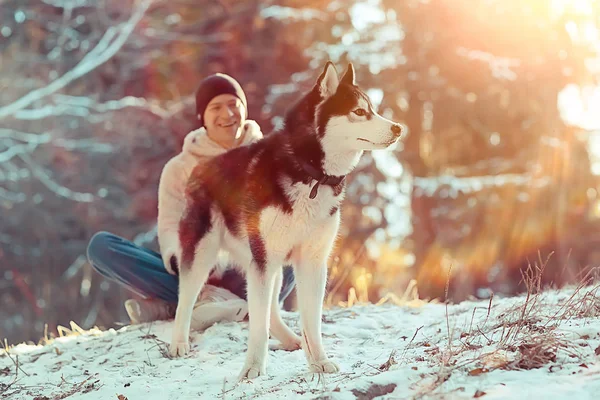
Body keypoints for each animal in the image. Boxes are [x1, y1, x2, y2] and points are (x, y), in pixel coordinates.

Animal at [169, 61, 404, 380]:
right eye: (358, 111)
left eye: (373, 109)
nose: (398, 128)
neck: (311, 174)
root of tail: (201, 167)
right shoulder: (266, 259)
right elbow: (256, 325)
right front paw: (253, 368)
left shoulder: (312, 262)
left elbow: (311, 322)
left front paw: (319, 362)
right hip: (206, 256)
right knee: (187, 299)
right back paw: (178, 343)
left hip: (270, 263)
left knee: (268, 308)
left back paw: (291, 339)